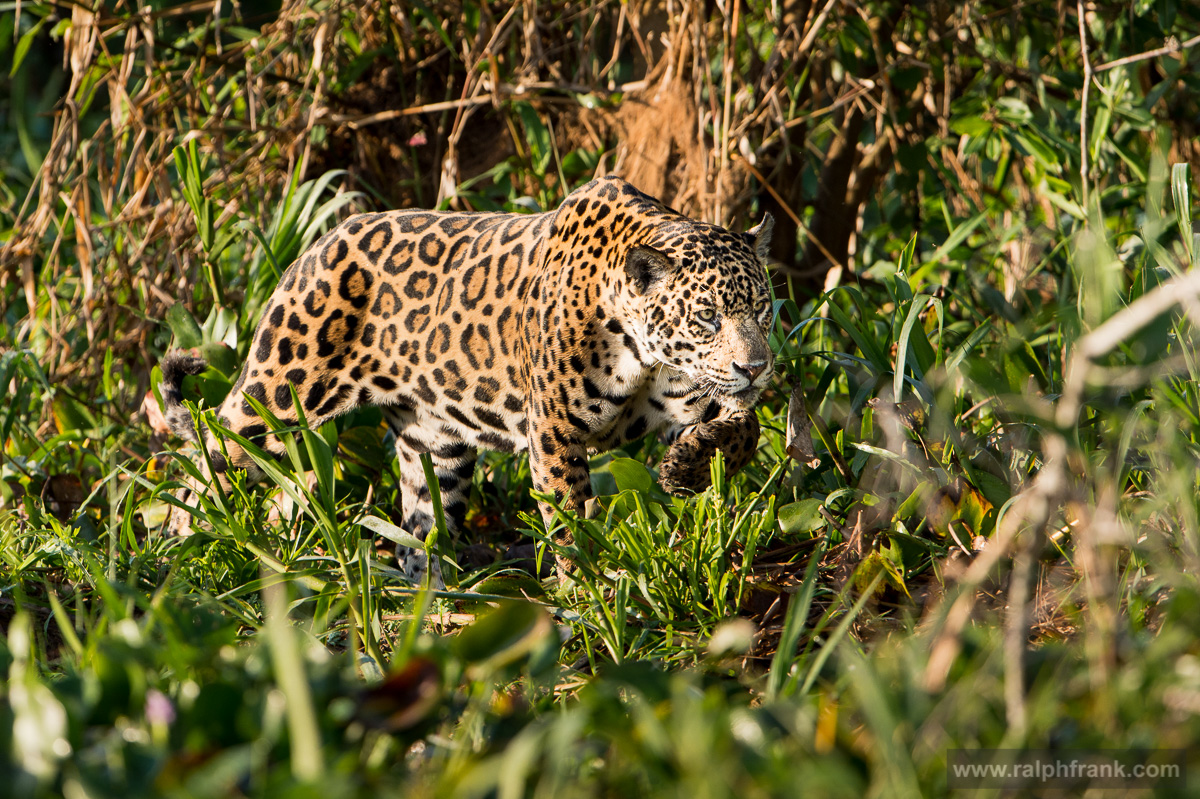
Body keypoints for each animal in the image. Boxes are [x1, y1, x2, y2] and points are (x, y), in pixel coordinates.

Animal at [160, 175, 775, 585]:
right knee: (204, 458)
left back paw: (435, 593)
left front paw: (687, 468)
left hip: (433, 442)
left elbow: (745, 428)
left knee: (415, 520)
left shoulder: (696, 399)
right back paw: (172, 555)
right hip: (276, 397)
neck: (643, 352)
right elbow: (568, 519)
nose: (757, 366)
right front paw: (587, 591)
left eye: (763, 310)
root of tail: (315, 246)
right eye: (707, 318)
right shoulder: (554, 435)